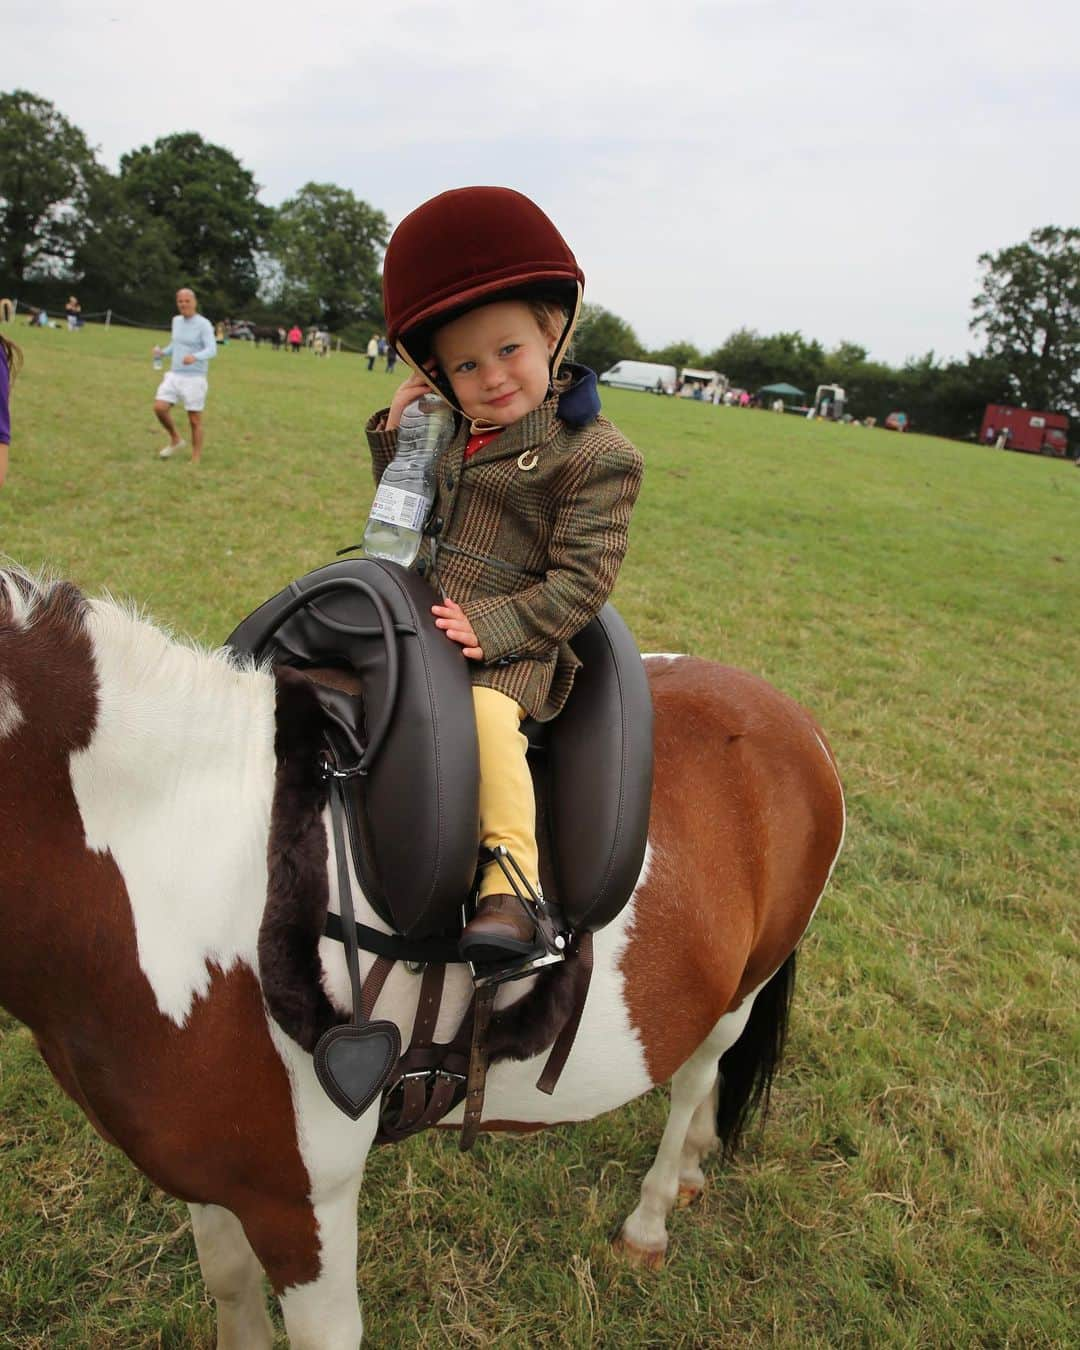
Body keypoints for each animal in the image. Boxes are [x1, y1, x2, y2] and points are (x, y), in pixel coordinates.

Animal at [0, 567, 842, 1339]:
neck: (172, 854)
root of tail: (792, 718)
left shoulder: (303, 1202)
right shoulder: (207, 1176)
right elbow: (230, 1288)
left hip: (742, 990)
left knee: (697, 1074)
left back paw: (652, 1217)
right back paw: (696, 1163)